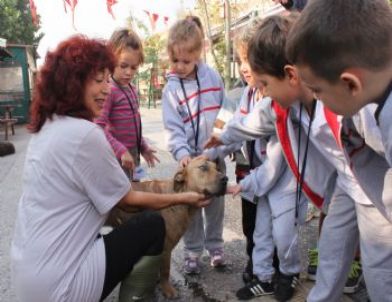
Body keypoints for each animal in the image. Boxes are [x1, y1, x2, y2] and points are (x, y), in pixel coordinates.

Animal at [105, 157, 228, 298]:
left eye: (217, 168)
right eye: (203, 167)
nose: (225, 179)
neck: (179, 192)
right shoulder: (166, 248)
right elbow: (165, 271)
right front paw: (167, 289)